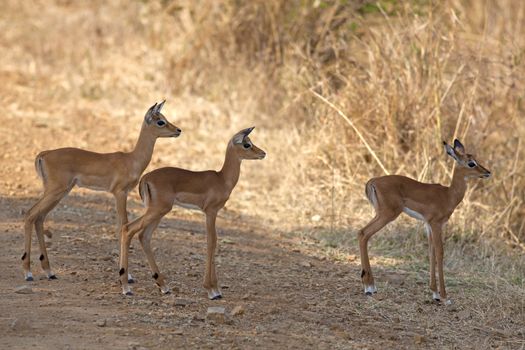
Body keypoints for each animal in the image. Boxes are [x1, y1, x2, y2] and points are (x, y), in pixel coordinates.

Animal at [22, 100, 181, 282]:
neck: (132, 160)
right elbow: (123, 226)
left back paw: (50, 272)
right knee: (30, 214)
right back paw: (28, 273)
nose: (178, 130)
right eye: (160, 121)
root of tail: (44, 154)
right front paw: (128, 276)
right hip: (55, 190)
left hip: (60, 192)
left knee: (39, 218)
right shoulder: (120, 193)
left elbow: (120, 227)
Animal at [119, 127, 266, 300]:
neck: (222, 179)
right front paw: (212, 290)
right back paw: (126, 287)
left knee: (144, 236)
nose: (263, 153)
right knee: (128, 229)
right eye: (246, 144)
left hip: (158, 212)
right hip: (158, 210)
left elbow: (213, 242)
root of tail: (145, 178)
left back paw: (163, 286)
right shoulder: (210, 212)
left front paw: (215, 289)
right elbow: (212, 242)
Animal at [358, 139, 490, 304]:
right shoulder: (436, 224)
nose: (487, 172)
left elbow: (431, 252)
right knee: (364, 233)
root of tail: (372, 181)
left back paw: (370, 286)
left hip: (381, 214)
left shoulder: (428, 225)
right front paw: (445, 297)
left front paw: (435, 293)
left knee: (361, 233)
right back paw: (369, 287)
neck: (448, 195)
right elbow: (440, 252)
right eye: (471, 163)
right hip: (388, 214)